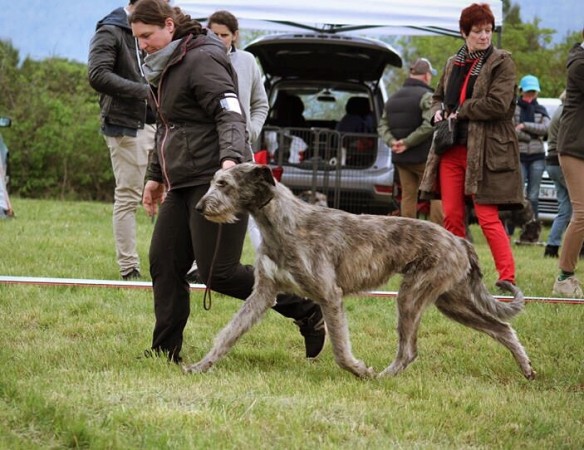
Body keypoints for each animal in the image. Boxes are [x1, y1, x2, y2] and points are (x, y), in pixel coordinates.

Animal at [185, 163, 536, 380]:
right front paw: (201, 366)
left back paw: (381, 377)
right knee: (501, 328)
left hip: (412, 297)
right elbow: (229, 333)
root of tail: (459, 240)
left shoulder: (330, 296)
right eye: (214, 181)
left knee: (409, 350)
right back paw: (527, 368)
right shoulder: (263, 293)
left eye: (224, 184)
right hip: (450, 299)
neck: (284, 222)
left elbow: (340, 349)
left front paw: (358, 370)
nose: (198, 207)